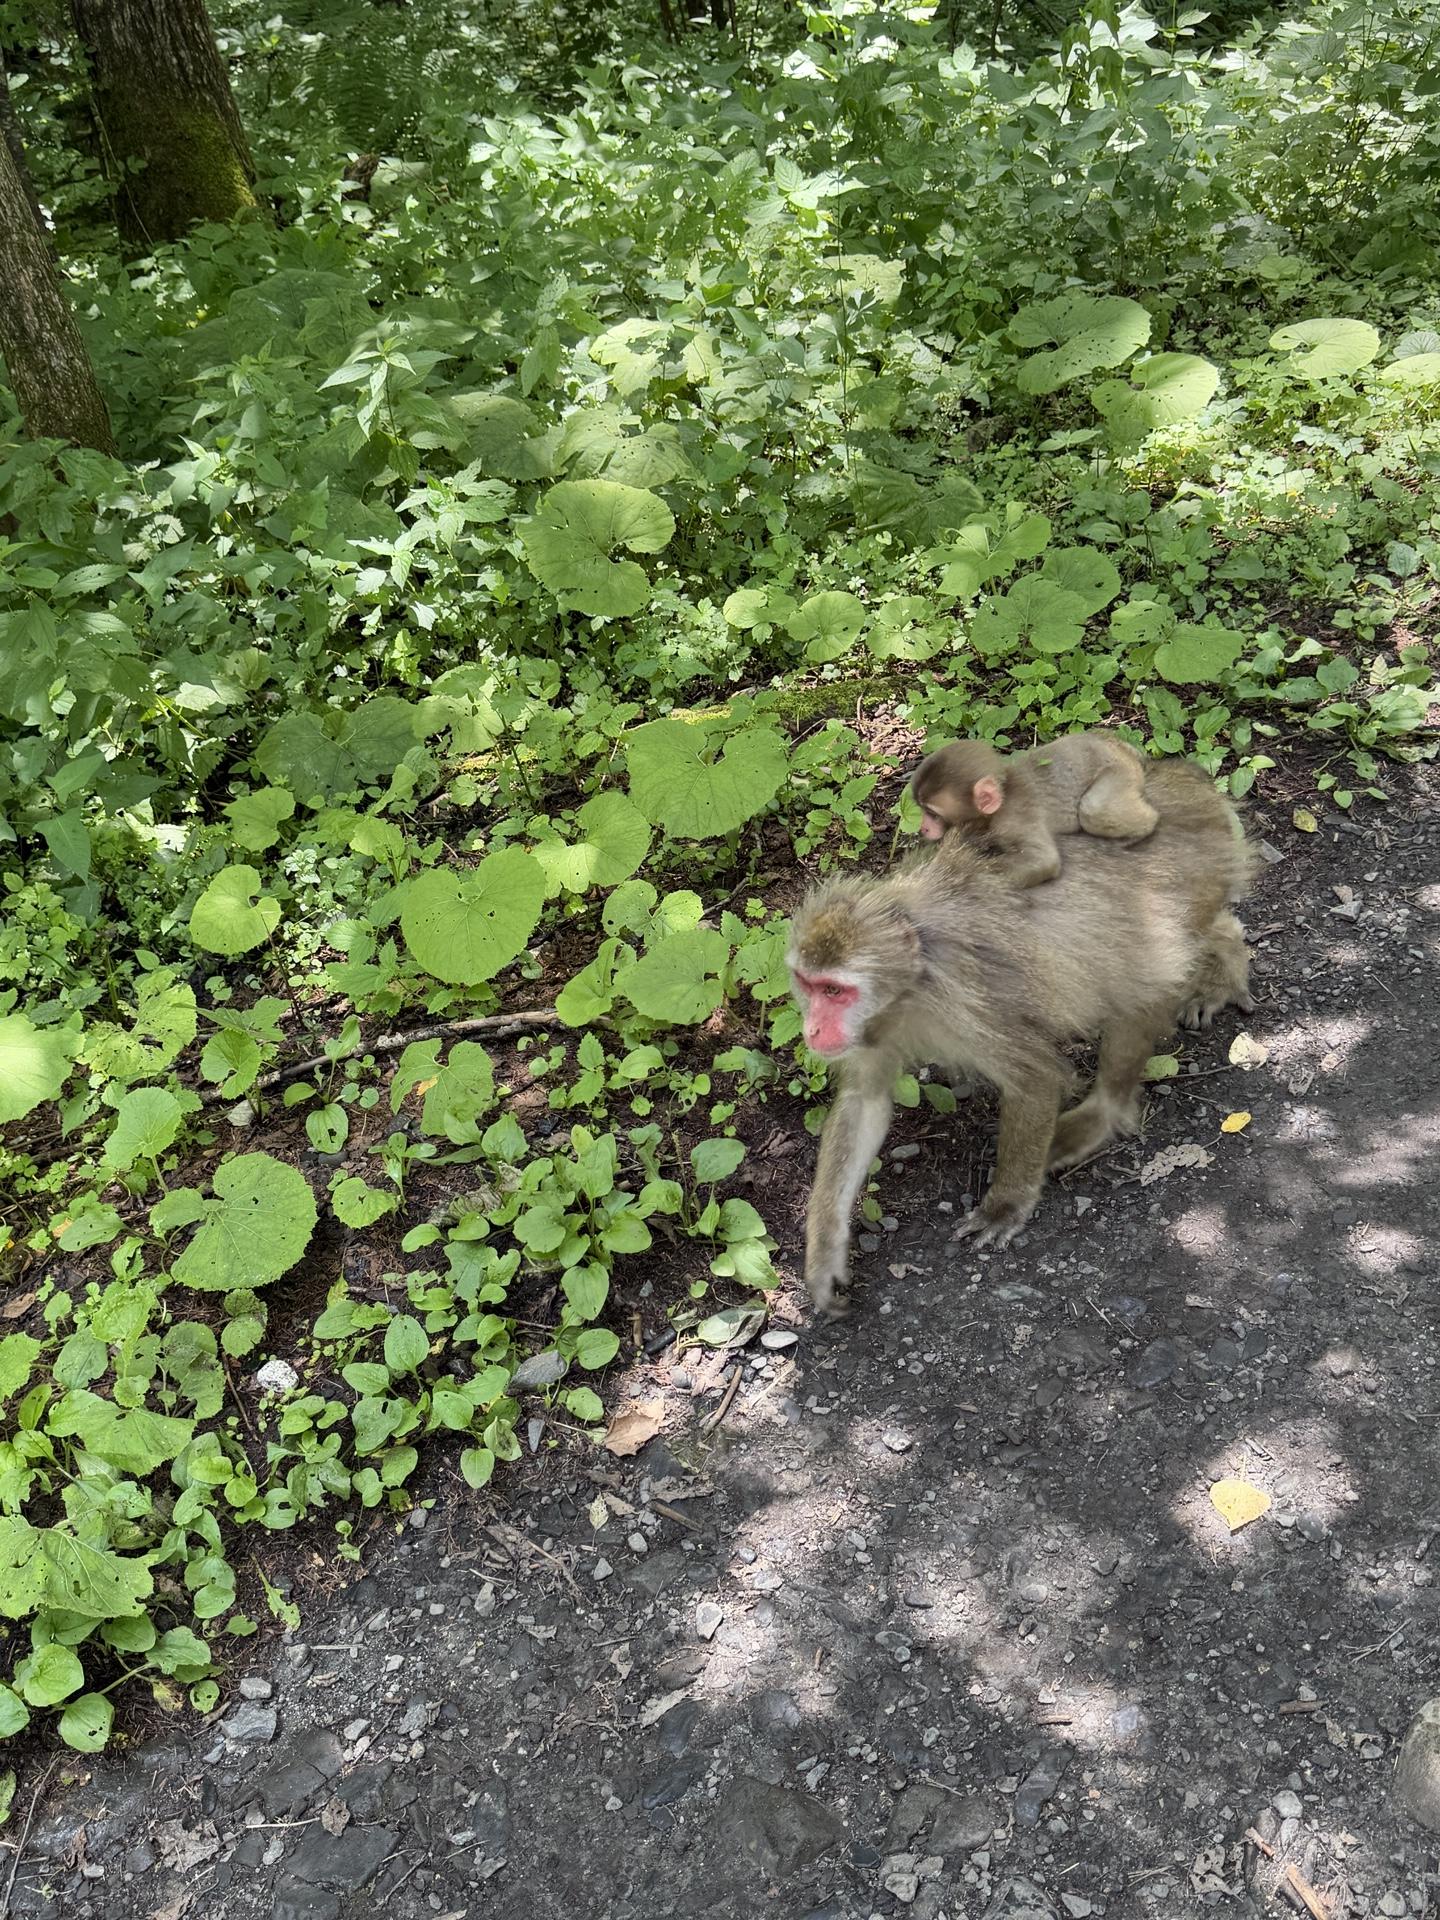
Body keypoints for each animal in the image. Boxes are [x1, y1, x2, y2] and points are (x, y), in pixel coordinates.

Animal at [788, 761, 1254, 1314]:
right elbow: (865, 1102)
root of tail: (1188, 788)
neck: (913, 984)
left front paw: (1005, 1204)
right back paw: (1225, 956)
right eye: (808, 985)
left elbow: (1034, 1078)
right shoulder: (874, 1027)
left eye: (835, 991)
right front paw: (825, 1250)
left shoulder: (975, 1004)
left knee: (1142, 974)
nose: (813, 1029)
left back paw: (1106, 1111)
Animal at [909, 734, 1159, 889]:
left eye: (933, 813)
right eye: (921, 810)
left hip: (1121, 772)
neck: (1004, 795)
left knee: (1094, 809)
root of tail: (1124, 751)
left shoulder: (1015, 820)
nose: (923, 828)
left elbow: (1044, 861)